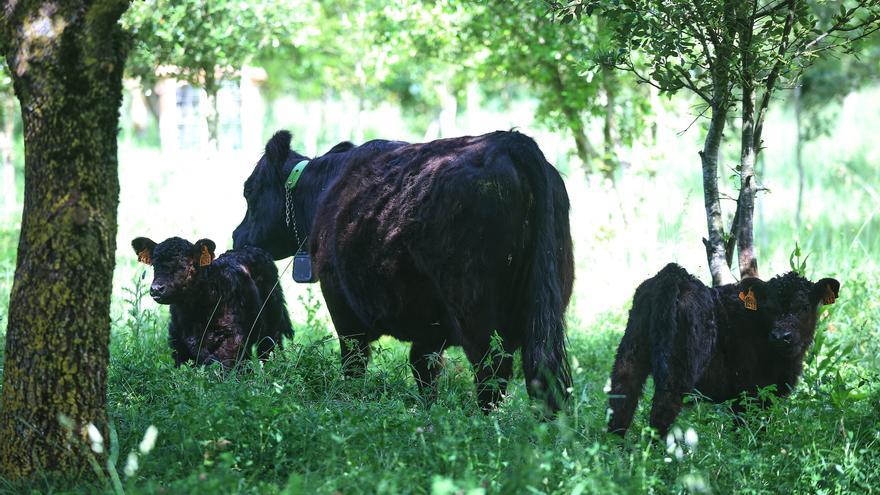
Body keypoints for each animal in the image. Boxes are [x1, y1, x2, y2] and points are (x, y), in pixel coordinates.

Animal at [132, 236, 293, 367]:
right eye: (154, 265)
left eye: (183, 265)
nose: (157, 289)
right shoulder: (177, 340)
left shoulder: (231, 338)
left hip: (273, 323)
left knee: (269, 349)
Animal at [232, 130, 574, 413]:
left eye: (248, 191)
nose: (237, 235)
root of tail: (508, 141)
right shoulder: (430, 324)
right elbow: (423, 368)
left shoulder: (340, 302)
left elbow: (354, 361)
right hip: (546, 309)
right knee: (543, 375)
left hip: (477, 314)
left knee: (492, 374)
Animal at [607, 262, 840, 438]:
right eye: (770, 308)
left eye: (804, 307)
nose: (781, 336)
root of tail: (674, 273)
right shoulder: (749, 395)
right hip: (677, 370)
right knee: (661, 412)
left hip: (630, 353)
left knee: (621, 398)